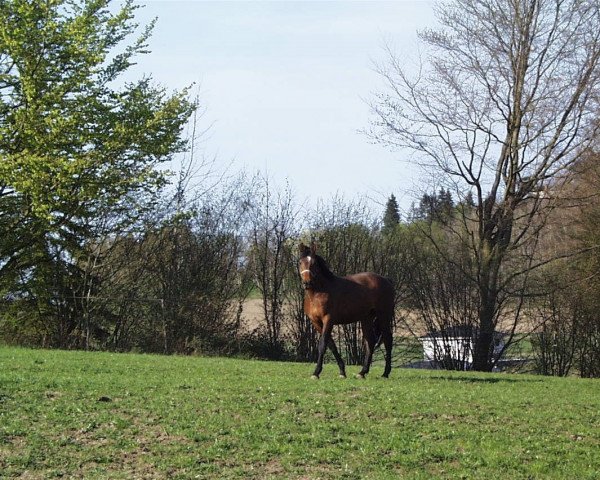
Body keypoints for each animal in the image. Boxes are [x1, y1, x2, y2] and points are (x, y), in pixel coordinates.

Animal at [296, 244, 394, 378]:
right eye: (300, 262)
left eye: (314, 263)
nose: (307, 283)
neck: (318, 293)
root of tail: (386, 280)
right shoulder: (316, 322)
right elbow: (331, 345)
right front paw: (342, 371)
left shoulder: (328, 320)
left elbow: (323, 344)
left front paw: (316, 373)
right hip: (366, 318)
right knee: (370, 341)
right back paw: (362, 372)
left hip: (384, 315)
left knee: (388, 340)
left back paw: (385, 373)